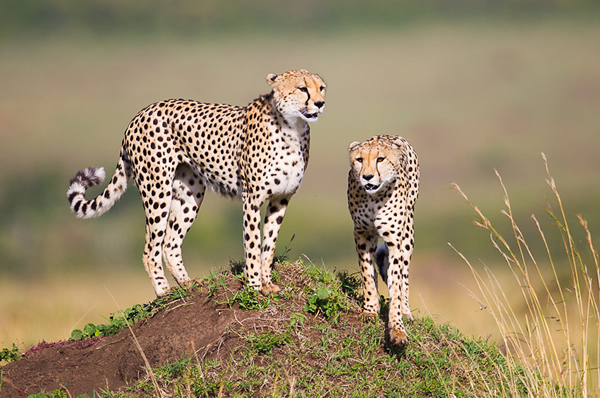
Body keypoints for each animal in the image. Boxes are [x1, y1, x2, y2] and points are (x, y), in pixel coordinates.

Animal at [67, 70, 326, 296]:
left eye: (321, 88)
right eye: (302, 88)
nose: (321, 103)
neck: (292, 127)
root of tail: (141, 113)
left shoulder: (280, 199)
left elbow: (269, 245)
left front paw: (267, 283)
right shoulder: (252, 198)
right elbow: (253, 243)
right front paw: (254, 286)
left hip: (190, 194)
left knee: (169, 242)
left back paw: (187, 284)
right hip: (157, 189)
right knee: (151, 247)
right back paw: (163, 290)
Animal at [350, 134, 420, 346]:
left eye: (380, 159)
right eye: (359, 160)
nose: (367, 177)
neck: (375, 198)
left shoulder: (395, 242)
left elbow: (396, 283)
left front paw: (397, 329)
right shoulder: (363, 234)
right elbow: (367, 275)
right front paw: (370, 310)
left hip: (408, 234)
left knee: (404, 276)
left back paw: (405, 311)